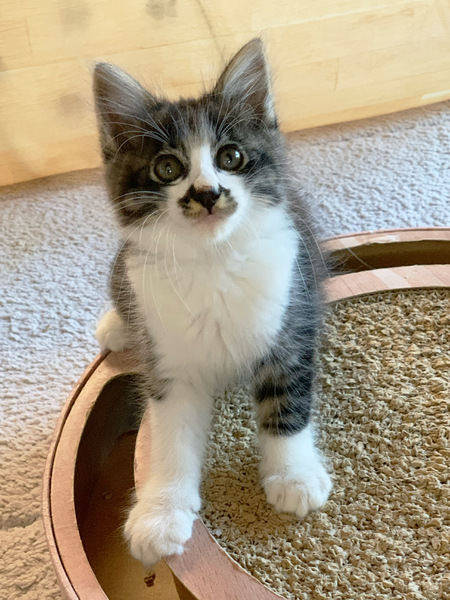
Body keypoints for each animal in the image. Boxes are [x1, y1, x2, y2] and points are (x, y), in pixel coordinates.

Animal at [93, 38, 332, 568]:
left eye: (232, 156)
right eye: (167, 168)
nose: (206, 193)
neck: (213, 261)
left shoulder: (290, 320)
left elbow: (287, 403)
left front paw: (293, 476)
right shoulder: (168, 362)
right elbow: (171, 439)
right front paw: (161, 513)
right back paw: (116, 325)